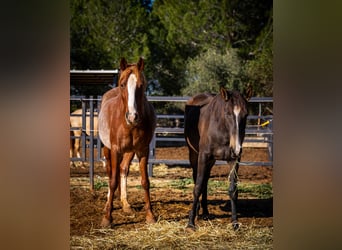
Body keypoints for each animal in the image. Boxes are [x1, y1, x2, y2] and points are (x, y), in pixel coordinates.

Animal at [97, 57, 156, 228]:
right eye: (123, 84)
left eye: (141, 85)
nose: (132, 116)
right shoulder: (115, 149)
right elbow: (112, 181)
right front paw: (107, 218)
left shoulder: (142, 150)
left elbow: (145, 181)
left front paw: (150, 215)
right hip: (107, 149)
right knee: (111, 172)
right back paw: (108, 204)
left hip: (130, 151)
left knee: (123, 169)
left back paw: (125, 204)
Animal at [184, 87, 251, 231]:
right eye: (228, 113)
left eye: (246, 114)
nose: (237, 148)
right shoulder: (203, 156)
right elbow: (197, 187)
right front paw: (190, 223)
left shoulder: (233, 160)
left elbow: (233, 190)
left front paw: (235, 222)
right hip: (194, 155)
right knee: (197, 178)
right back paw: (197, 211)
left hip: (211, 161)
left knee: (205, 180)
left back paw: (205, 212)